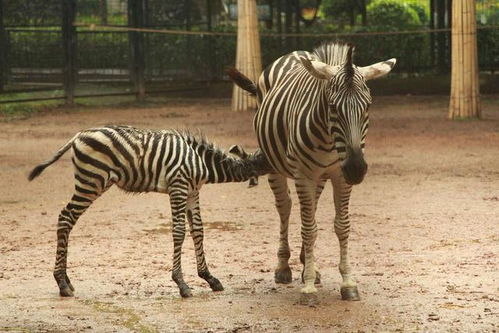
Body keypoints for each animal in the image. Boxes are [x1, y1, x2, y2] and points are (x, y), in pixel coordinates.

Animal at [29, 124, 272, 296]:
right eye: (267, 160)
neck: (201, 162)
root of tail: (78, 135)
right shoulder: (178, 186)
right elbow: (179, 232)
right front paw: (181, 283)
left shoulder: (193, 191)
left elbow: (198, 231)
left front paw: (209, 278)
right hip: (91, 182)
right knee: (65, 217)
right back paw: (62, 283)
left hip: (94, 182)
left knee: (67, 219)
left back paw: (66, 281)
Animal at [229, 41, 396, 300]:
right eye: (333, 107)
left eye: (368, 106)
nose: (356, 169)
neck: (329, 141)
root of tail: (294, 53)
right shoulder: (304, 173)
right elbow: (309, 228)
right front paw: (307, 287)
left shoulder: (339, 175)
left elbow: (341, 226)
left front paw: (347, 282)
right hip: (276, 165)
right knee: (285, 207)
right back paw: (284, 267)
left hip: (319, 176)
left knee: (310, 209)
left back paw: (309, 264)